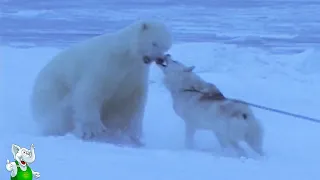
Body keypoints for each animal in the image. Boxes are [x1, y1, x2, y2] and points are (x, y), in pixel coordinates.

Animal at [30, 19, 172, 144]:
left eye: (166, 46)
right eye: (154, 43)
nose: (160, 59)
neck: (125, 56)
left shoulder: (134, 74)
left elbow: (132, 101)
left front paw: (130, 135)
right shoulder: (104, 66)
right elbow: (89, 93)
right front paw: (92, 130)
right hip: (53, 89)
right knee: (58, 114)